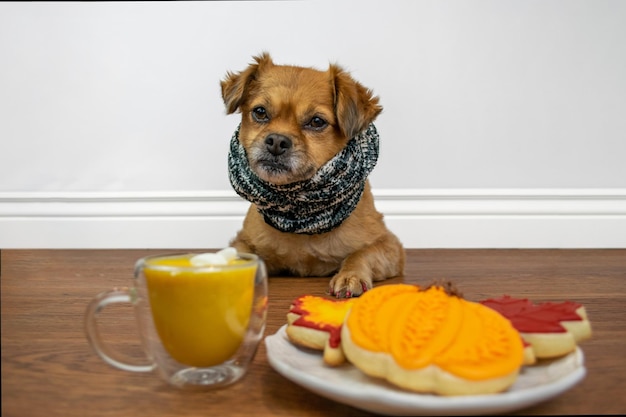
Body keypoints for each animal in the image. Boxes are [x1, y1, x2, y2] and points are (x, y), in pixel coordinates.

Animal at [221, 53, 404, 298]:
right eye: (260, 112)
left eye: (317, 121)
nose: (276, 141)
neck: (303, 214)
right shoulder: (243, 241)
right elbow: (239, 256)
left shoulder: (390, 246)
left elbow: (361, 253)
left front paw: (351, 275)